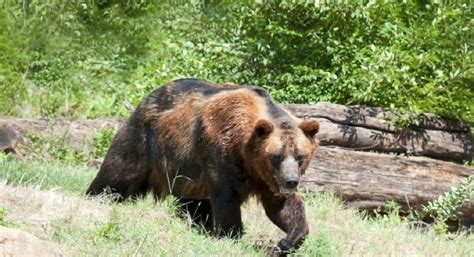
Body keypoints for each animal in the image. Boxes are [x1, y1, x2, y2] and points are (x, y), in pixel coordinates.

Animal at [87, 78, 320, 252]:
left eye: (300, 156)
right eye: (276, 156)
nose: (291, 181)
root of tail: (146, 99)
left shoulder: (266, 178)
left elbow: (281, 207)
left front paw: (287, 241)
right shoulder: (220, 151)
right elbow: (226, 197)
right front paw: (231, 235)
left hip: (186, 174)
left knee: (193, 203)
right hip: (143, 142)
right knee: (117, 175)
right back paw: (97, 197)